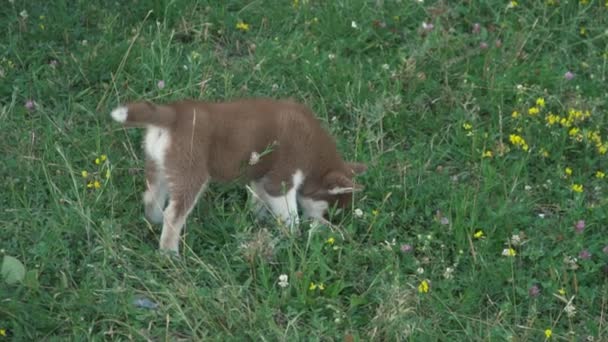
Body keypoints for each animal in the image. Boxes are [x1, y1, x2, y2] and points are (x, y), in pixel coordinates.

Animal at [110, 97, 366, 252]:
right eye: (331, 210)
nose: (329, 224)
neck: (315, 153)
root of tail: (176, 111)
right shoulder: (281, 178)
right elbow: (290, 215)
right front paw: (295, 235)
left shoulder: (260, 175)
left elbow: (258, 199)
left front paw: (258, 218)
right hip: (191, 171)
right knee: (173, 214)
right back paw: (169, 253)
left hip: (159, 166)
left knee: (151, 197)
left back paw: (153, 222)